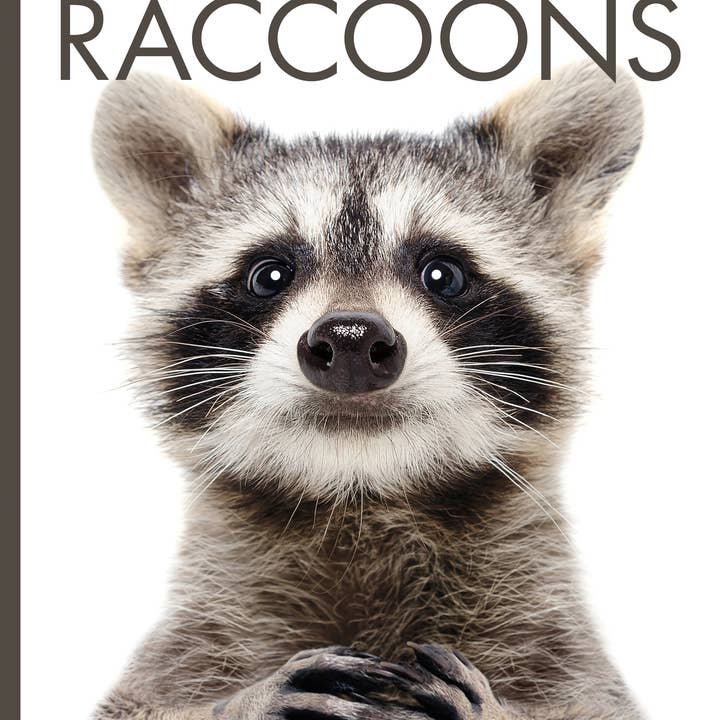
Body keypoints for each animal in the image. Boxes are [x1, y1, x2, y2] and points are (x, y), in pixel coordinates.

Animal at [91, 63, 644, 720]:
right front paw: (242, 702)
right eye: (268, 274)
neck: (360, 499)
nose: (351, 340)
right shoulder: (189, 644)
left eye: (443, 274)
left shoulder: (560, 651)